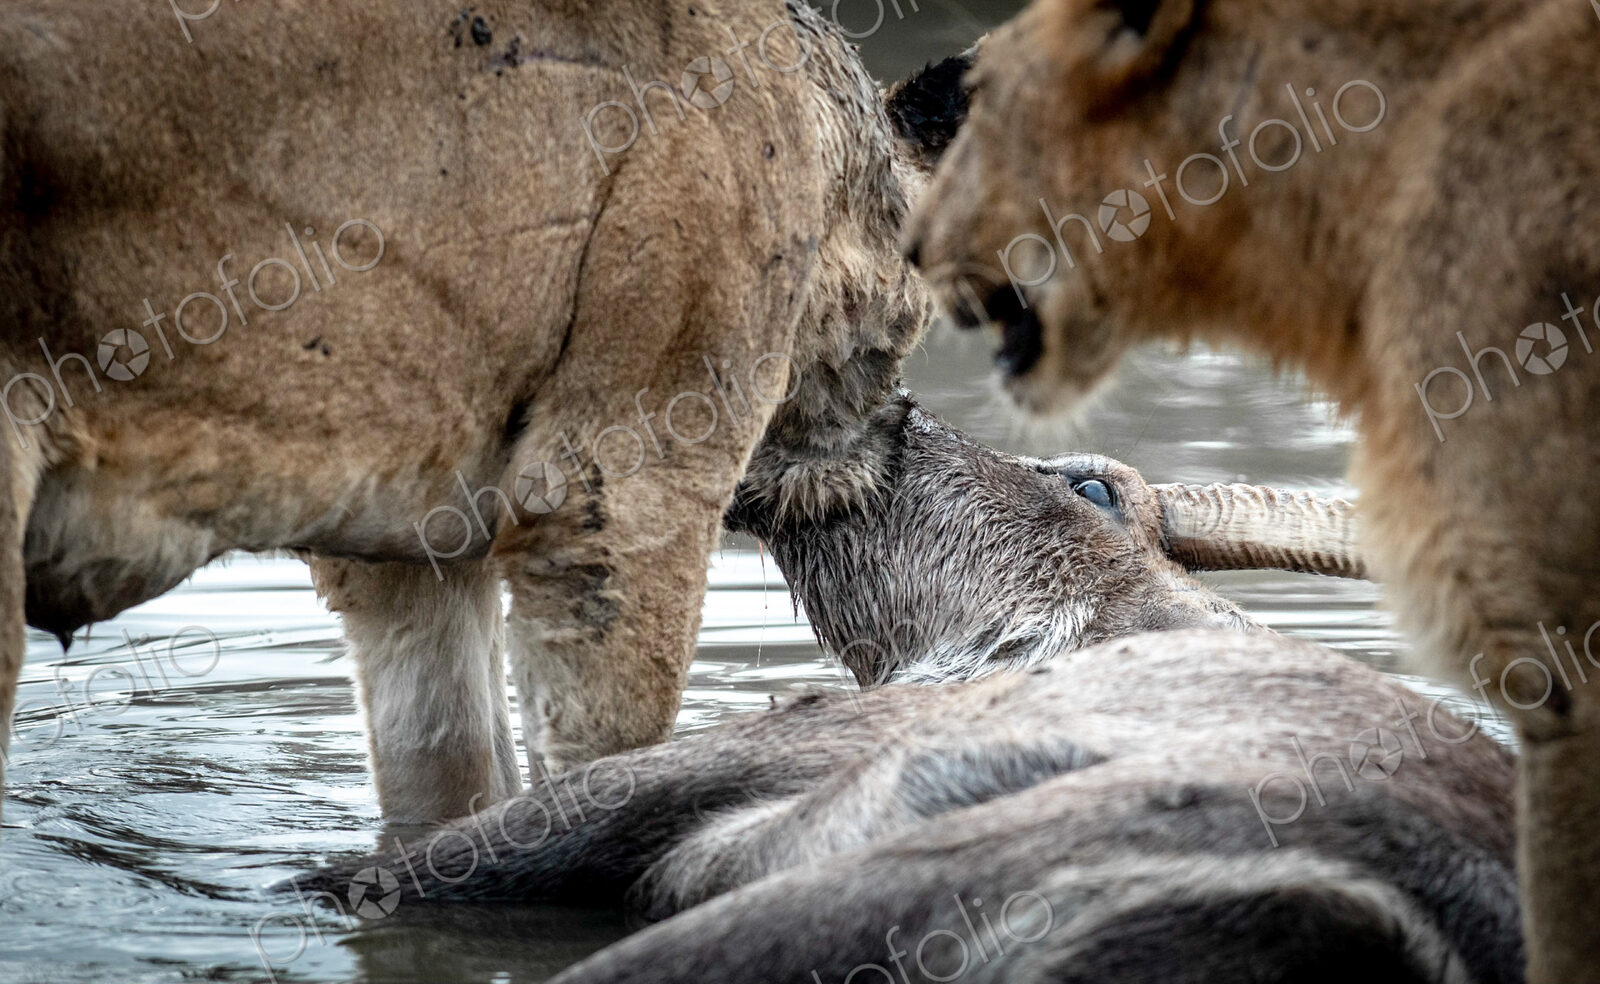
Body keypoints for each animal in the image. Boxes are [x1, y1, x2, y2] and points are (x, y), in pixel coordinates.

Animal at [0, 0, 964, 827]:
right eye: (909, 330)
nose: (903, 424)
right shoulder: (624, 475)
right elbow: (610, 755)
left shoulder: (406, 547)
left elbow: (444, 768)